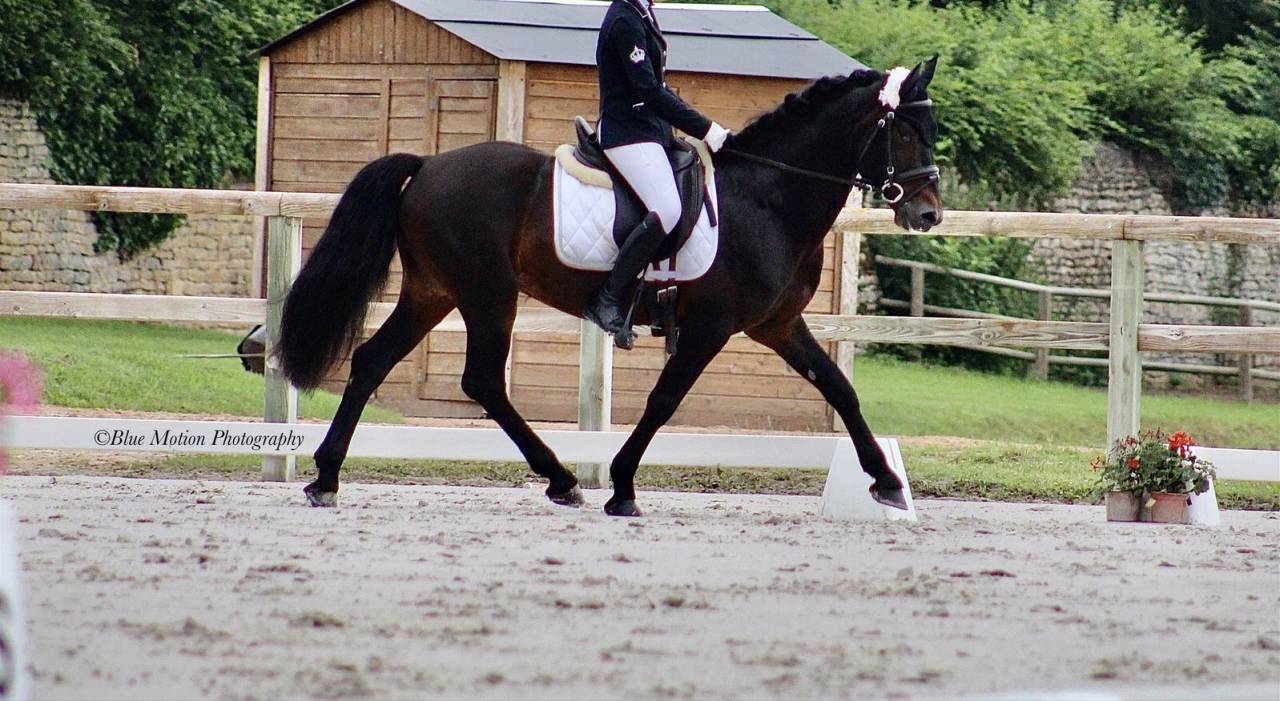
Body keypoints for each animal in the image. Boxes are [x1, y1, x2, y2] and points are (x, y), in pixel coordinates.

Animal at [276, 58, 944, 517]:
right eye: (908, 134)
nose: (929, 214)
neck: (768, 199)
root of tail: (428, 167)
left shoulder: (776, 325)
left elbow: (840, 390)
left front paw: (886, 482)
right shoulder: (710, 327)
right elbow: (663, 401)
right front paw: (621, 487)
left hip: (432, 293)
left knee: (373, 361)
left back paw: (326, 479)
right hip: (488, 294)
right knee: (482, 380)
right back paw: (562, 479)